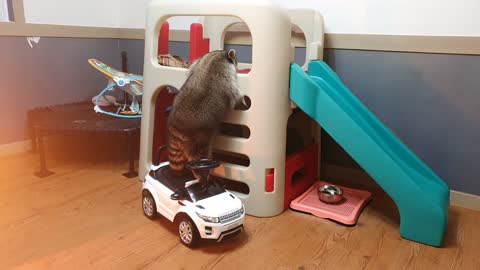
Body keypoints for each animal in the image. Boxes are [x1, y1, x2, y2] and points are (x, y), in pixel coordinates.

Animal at [166, 49, 248, 179]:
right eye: (236, 61)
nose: (238, 66)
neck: (219, 54)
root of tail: (176, 124)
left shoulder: (199, 62)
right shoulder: (227, 76)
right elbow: (236, 95)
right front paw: (243, 102)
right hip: (200, 136)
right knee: (198, 155)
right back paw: (201, 174)